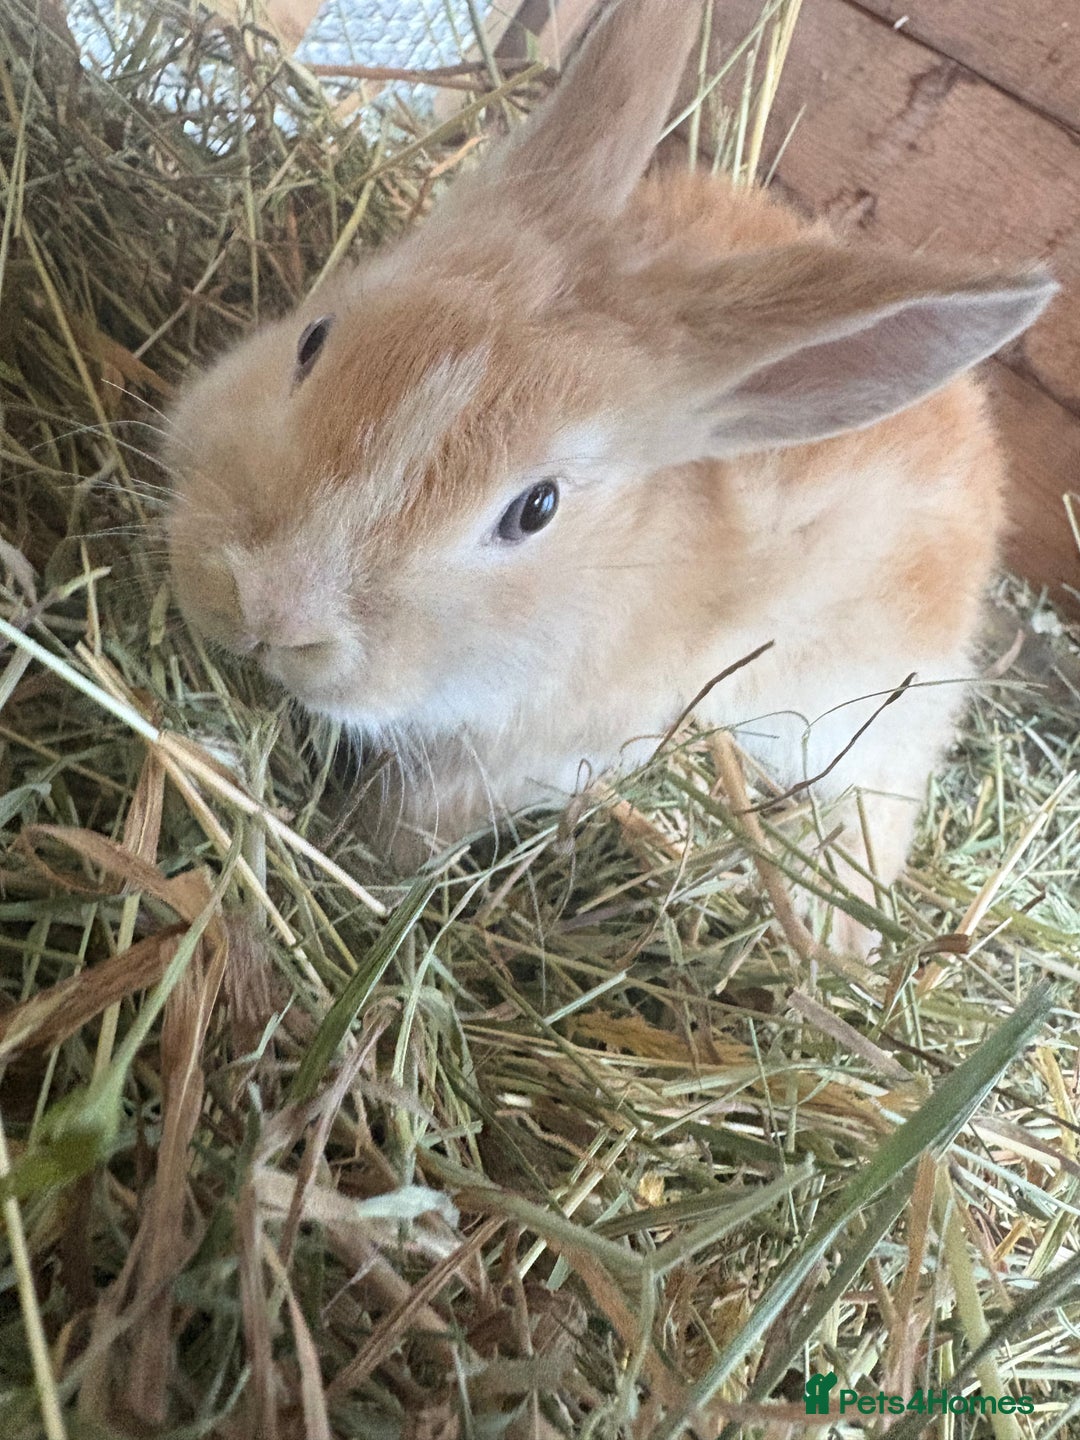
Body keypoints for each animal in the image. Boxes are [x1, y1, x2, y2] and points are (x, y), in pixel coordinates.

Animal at [165, 0, 1056, 948]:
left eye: (538, 507)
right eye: (312, 340)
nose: (271, 608)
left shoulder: (551, 749)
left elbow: (427, 816)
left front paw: (362, 854)